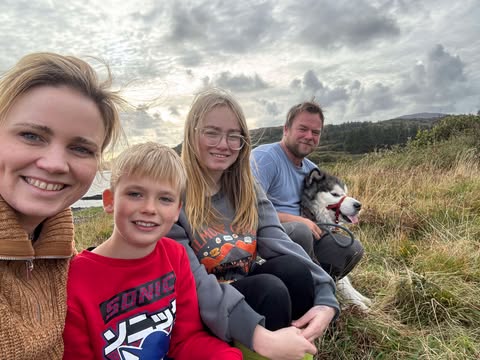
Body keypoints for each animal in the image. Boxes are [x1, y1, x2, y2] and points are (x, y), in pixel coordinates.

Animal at [300, 167, 372, 310]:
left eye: (345, 193)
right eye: (335, 194)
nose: (359, 205)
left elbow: (346, 283)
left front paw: (362, 298)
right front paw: (362, 307)